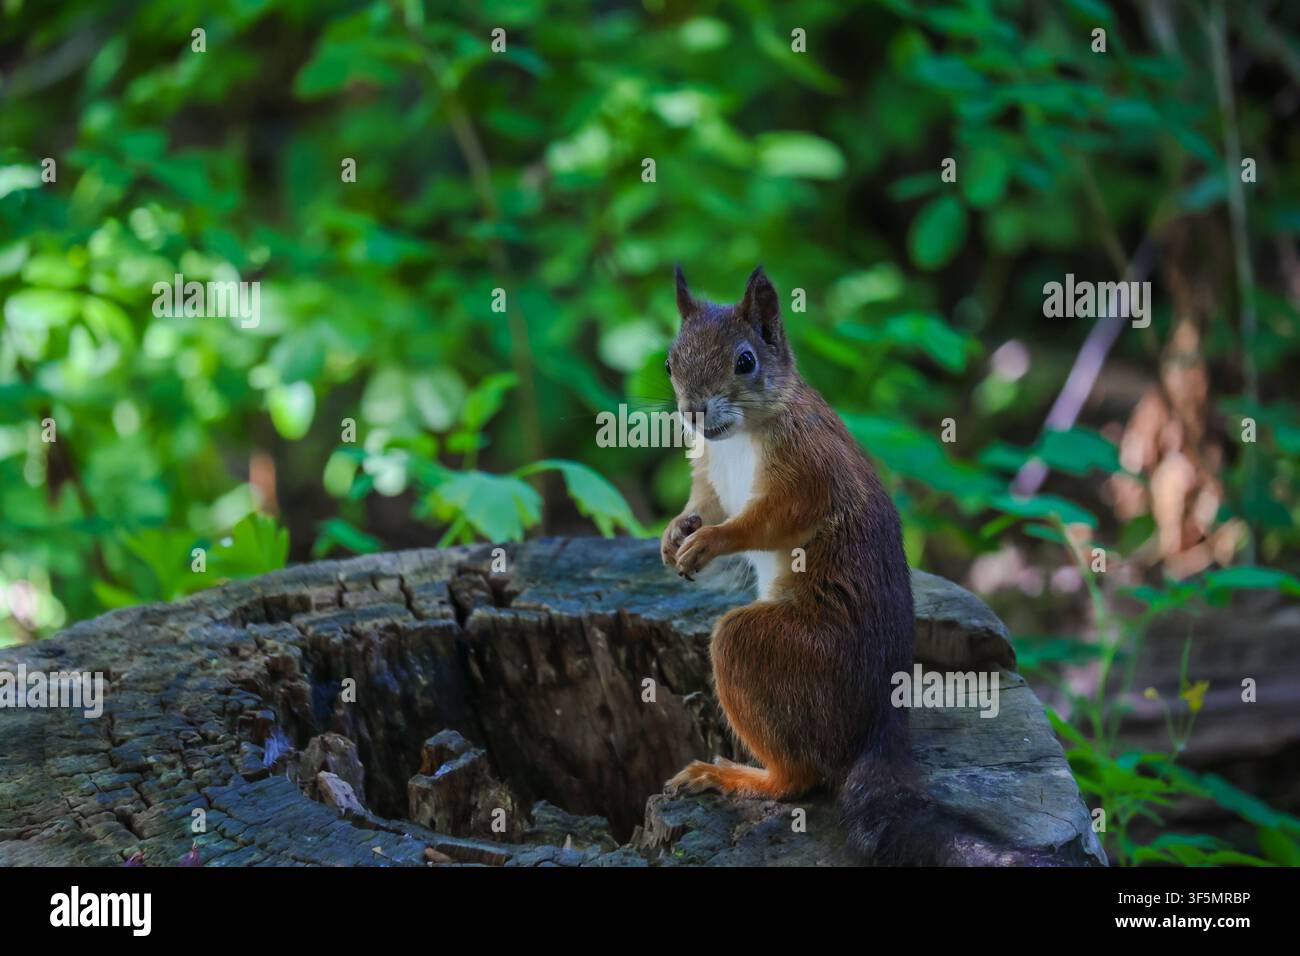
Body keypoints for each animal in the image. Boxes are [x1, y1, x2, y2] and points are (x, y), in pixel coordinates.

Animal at [660, 265, 1033, 865]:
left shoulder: (808, 472)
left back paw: (738, 776)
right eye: (670, 362)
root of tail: (879, 731)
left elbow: (765, 521)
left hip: (783, 654)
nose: (692, 410)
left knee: (800, 778)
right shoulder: (711, 473)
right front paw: (674, 534)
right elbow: (706, 503)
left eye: (746, 361)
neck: (741, 435)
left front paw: (712, 540)